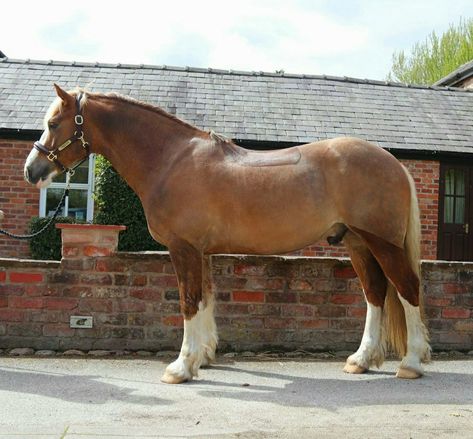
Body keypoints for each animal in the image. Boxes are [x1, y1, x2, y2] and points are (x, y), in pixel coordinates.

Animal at [26, 84, 432, 384]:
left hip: (382, 243)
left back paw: (411, 363)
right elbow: (205, 298)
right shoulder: (201, 251)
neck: (171, 160)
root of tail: (393, 162)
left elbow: (188, 302)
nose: (32, 170)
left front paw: (181, 366)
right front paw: (203, 358)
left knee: (407, 290)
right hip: (358, 244)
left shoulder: (184, 248)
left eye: (54, 122)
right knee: (376, 295)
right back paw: (361, 360)